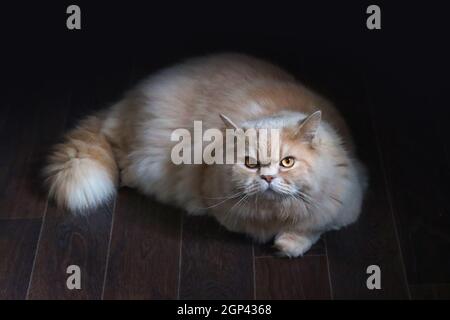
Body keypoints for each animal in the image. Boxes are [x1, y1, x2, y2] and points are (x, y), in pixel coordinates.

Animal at [43, 53, 366, 258]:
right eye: (250, 163)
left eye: (287, 162)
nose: (268, 178)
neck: (274, 215)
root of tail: (124, 102)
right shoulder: (219, 203)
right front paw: (280, 241)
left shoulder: (348, 199)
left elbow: (313, 228)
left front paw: (287, 245)